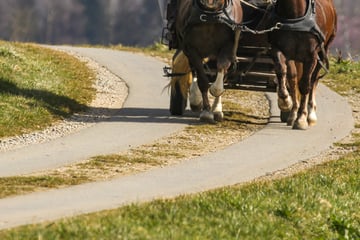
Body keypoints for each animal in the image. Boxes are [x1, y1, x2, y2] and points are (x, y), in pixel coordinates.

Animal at [270, 0, 338, 129]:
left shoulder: (311, 57)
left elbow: (305, 85)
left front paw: (301, 118)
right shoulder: (280, 50)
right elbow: (284, 73)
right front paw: (285, 102)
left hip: (323, 52)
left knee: (313, 80)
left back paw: (310, 114)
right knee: (294, 79)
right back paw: (293, 113)